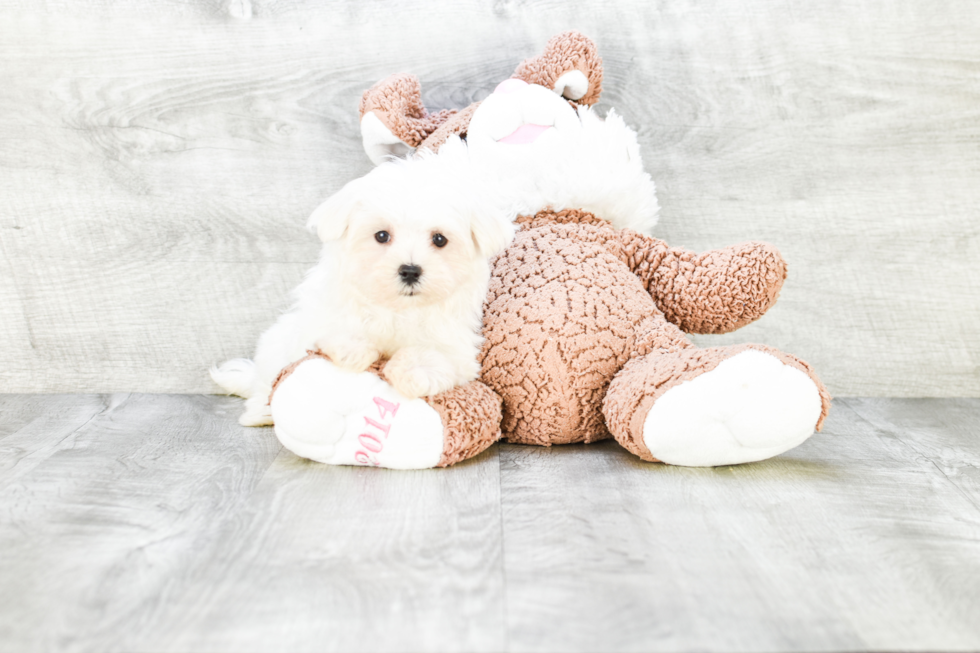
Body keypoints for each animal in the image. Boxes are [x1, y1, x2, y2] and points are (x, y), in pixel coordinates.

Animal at [212, 139, 516, 426]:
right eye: (381, 236)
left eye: (439, 239)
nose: (410, 270)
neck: (397, 308)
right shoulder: (319, 316)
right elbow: (337, 326)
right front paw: (353, 349)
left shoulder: (457, 348)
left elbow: (436, 356)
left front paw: (412, 373)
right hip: (274, 348)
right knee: (264, 386)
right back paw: (260, 413)